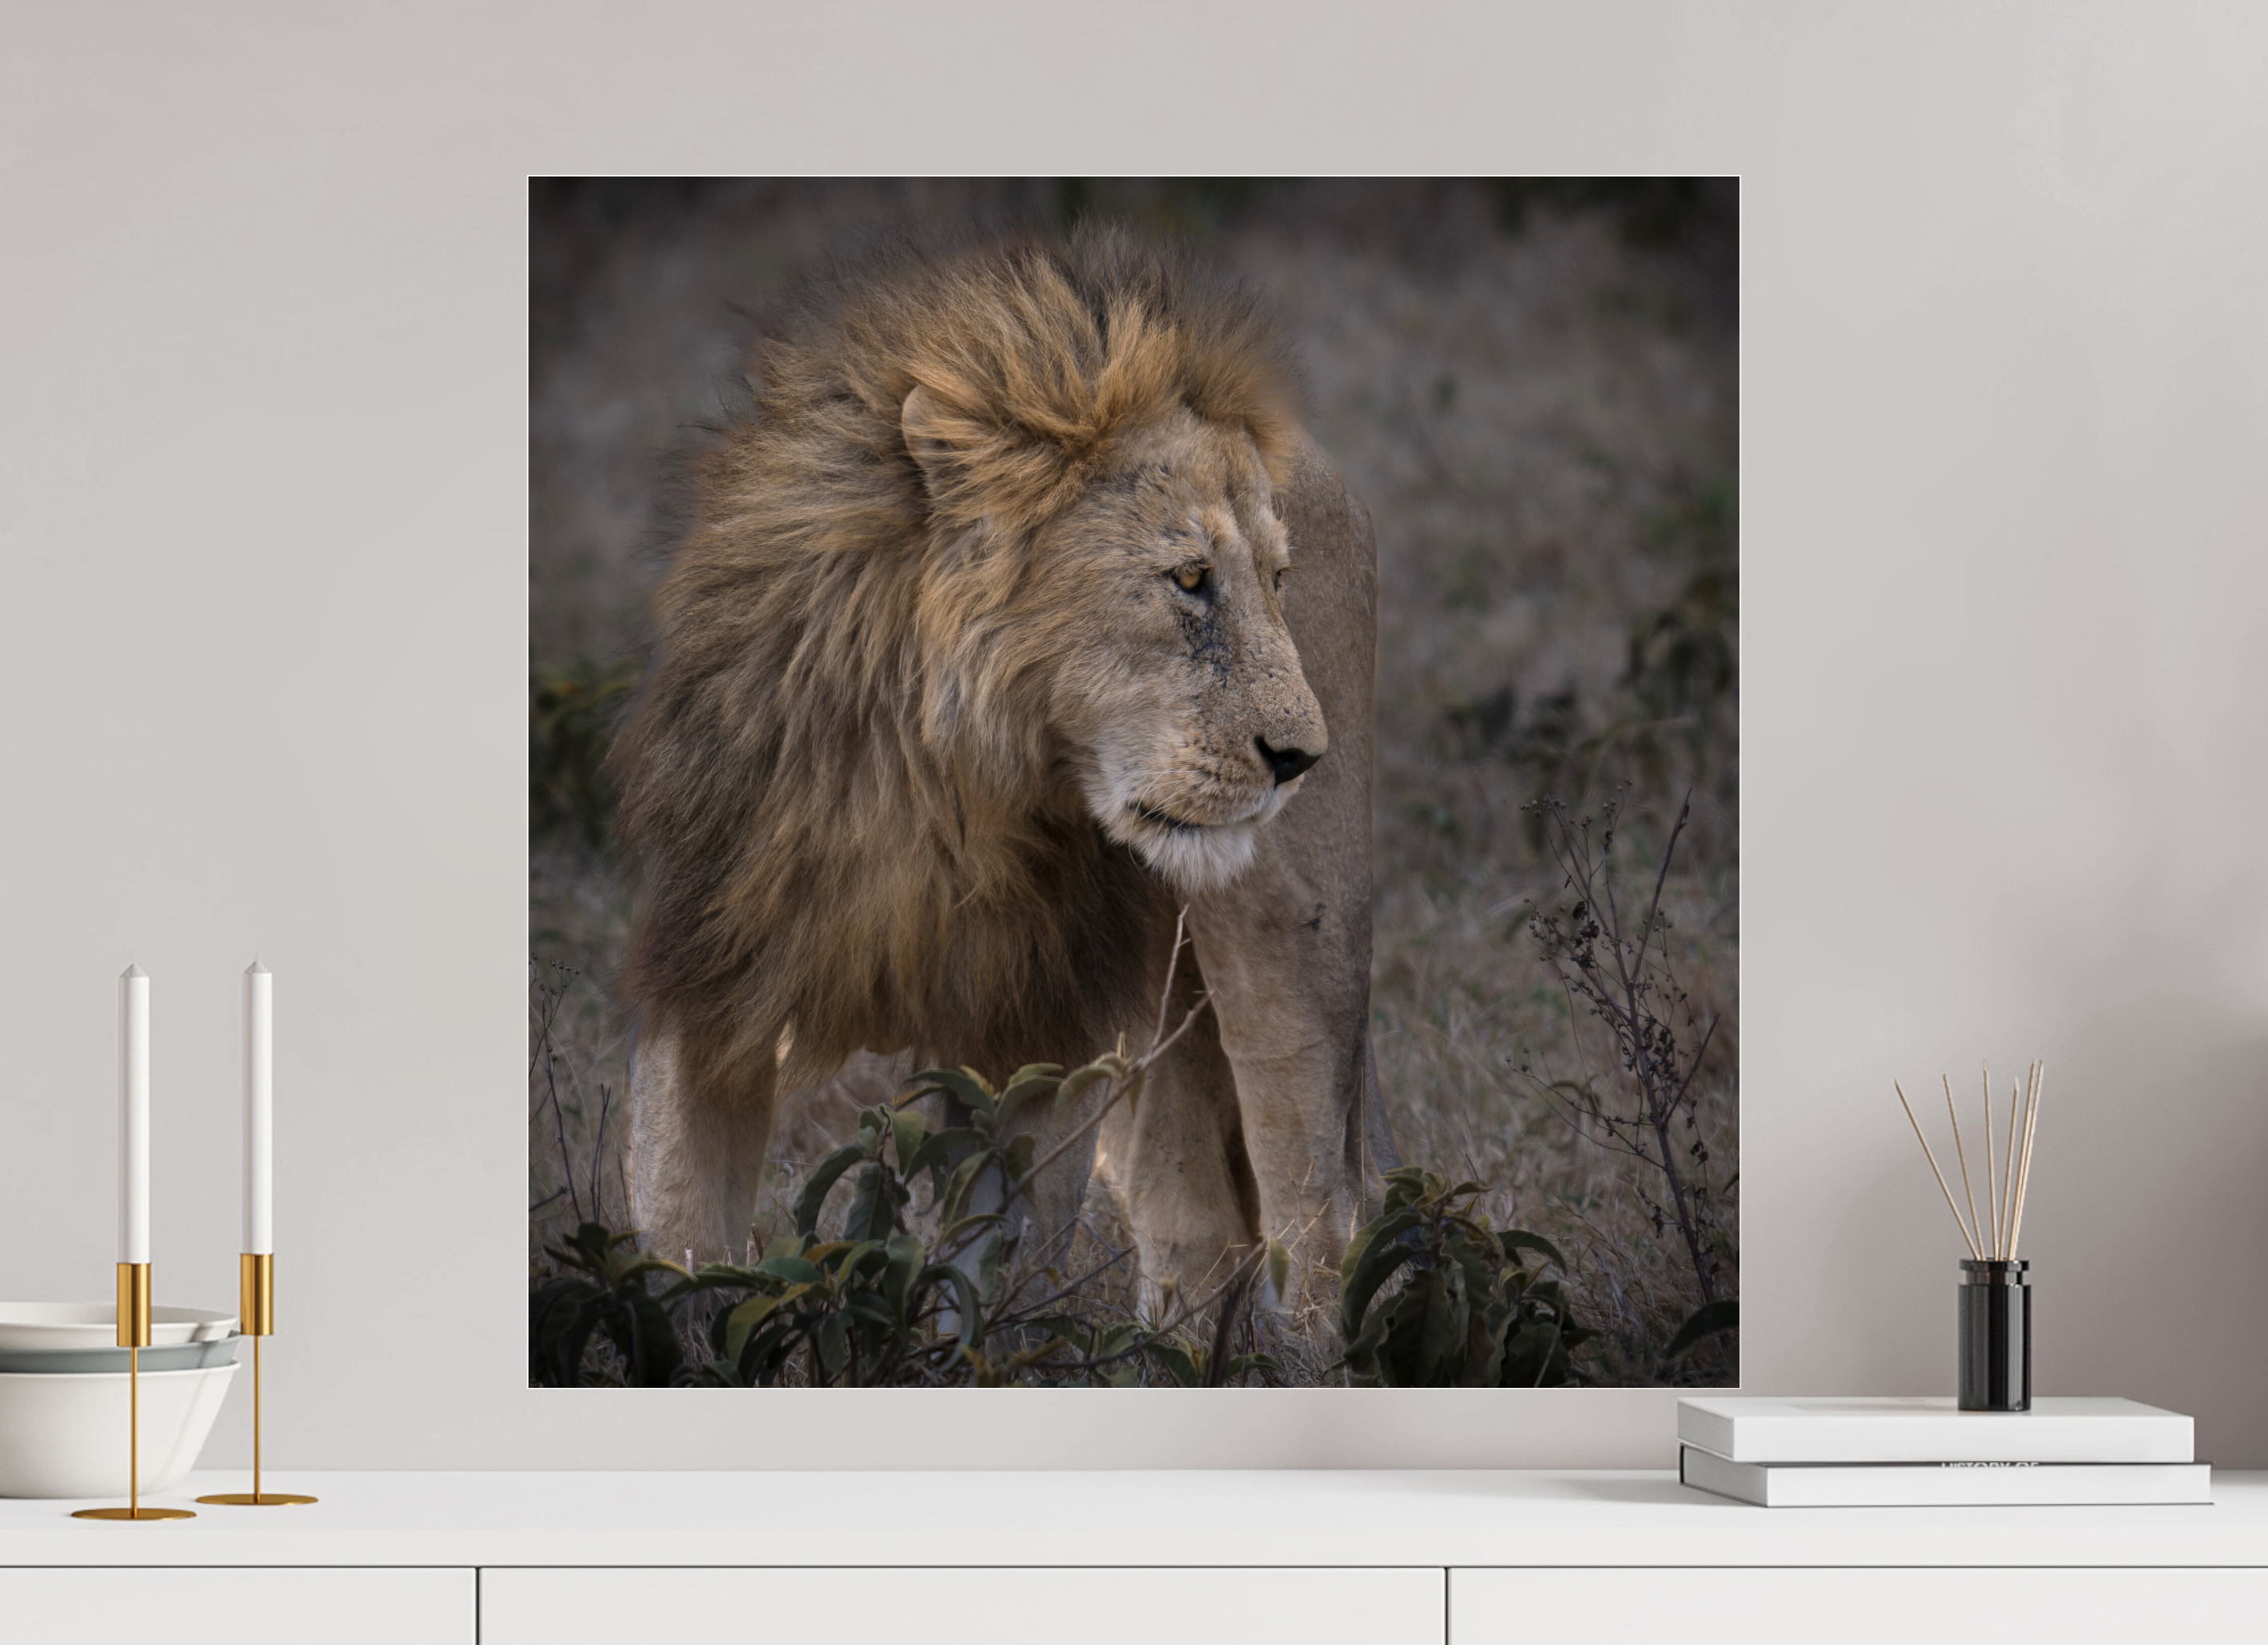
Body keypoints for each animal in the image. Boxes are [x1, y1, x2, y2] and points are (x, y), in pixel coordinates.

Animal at [611, 226, 1392, 1320]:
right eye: (1190, 579)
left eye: (1276, 583)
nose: (1299, 759)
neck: (931, 787)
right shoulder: (712, 971)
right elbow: (682, 1244)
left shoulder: (1034, 1021)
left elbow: (980, 1273)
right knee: (1195, 1221)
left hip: (1293, 939)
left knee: (1313, 1213)